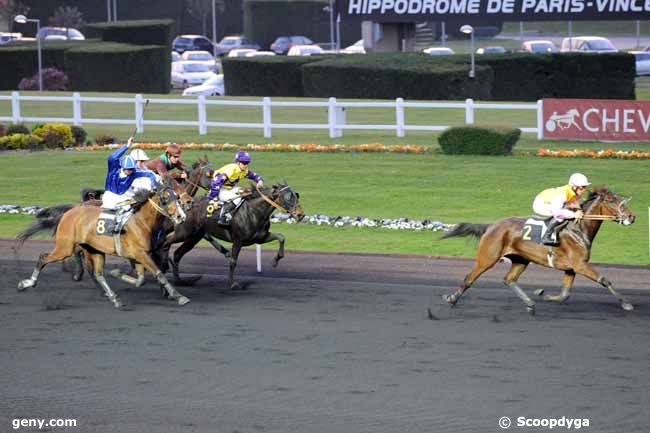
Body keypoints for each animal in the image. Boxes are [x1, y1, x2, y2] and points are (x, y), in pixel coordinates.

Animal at [15, 179, 190, 308]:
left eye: (177, 197)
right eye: (165, 197)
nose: (181, 216)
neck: (142, 221)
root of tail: (69, 212)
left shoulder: (140, 254)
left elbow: (141, 279)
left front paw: (117, 273)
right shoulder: (140, 253)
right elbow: (159, 273)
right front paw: (179, 296)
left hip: (94, 249)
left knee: (98, 274)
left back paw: (113, 297)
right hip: (65, 247)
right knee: (43, 257)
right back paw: (27, 283)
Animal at [162, 181, 304, 288]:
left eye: (296, 195)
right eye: (288, 197)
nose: (300, 215)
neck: (254, 211)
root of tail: (181, 206)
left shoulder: (260, 237)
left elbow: (281, 237)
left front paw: (275, 261)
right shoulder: (238, 240)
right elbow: (233, 261)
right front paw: (232, 284)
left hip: (194, 236)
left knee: (177, 254)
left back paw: (179, 280)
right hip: (184, 232)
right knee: (166, 242)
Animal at [438, 186, 632, 314]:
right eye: (611, 200)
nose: (631, 216)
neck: (578, 230)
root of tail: (491, 226)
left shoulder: (571, 268)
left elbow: (565, 294)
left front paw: (543, 294)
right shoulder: (580, 265)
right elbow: (604, 280)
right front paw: (626, 304)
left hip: (520, 259)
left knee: (509, 280)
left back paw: (530, 303)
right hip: (487, 257)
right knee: (469, 278)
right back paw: (452, 298)